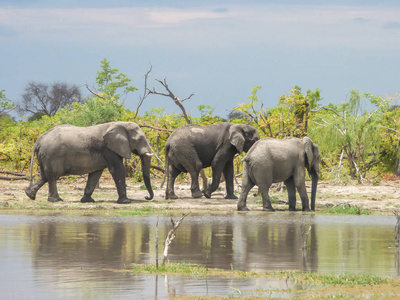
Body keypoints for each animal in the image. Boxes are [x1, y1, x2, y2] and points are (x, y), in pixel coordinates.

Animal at [25, 122, 153, 204]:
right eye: (139, 140)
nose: (146, 197)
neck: (120, 124)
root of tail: (38, 141)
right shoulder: (109, 148)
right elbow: (117, 170)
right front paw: (126, 202)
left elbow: (95, 174)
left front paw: (87, 201)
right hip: (51, 155)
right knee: (52, 176)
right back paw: (56, 200)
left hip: (45, 156)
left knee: (44, 176)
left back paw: (29, 195)